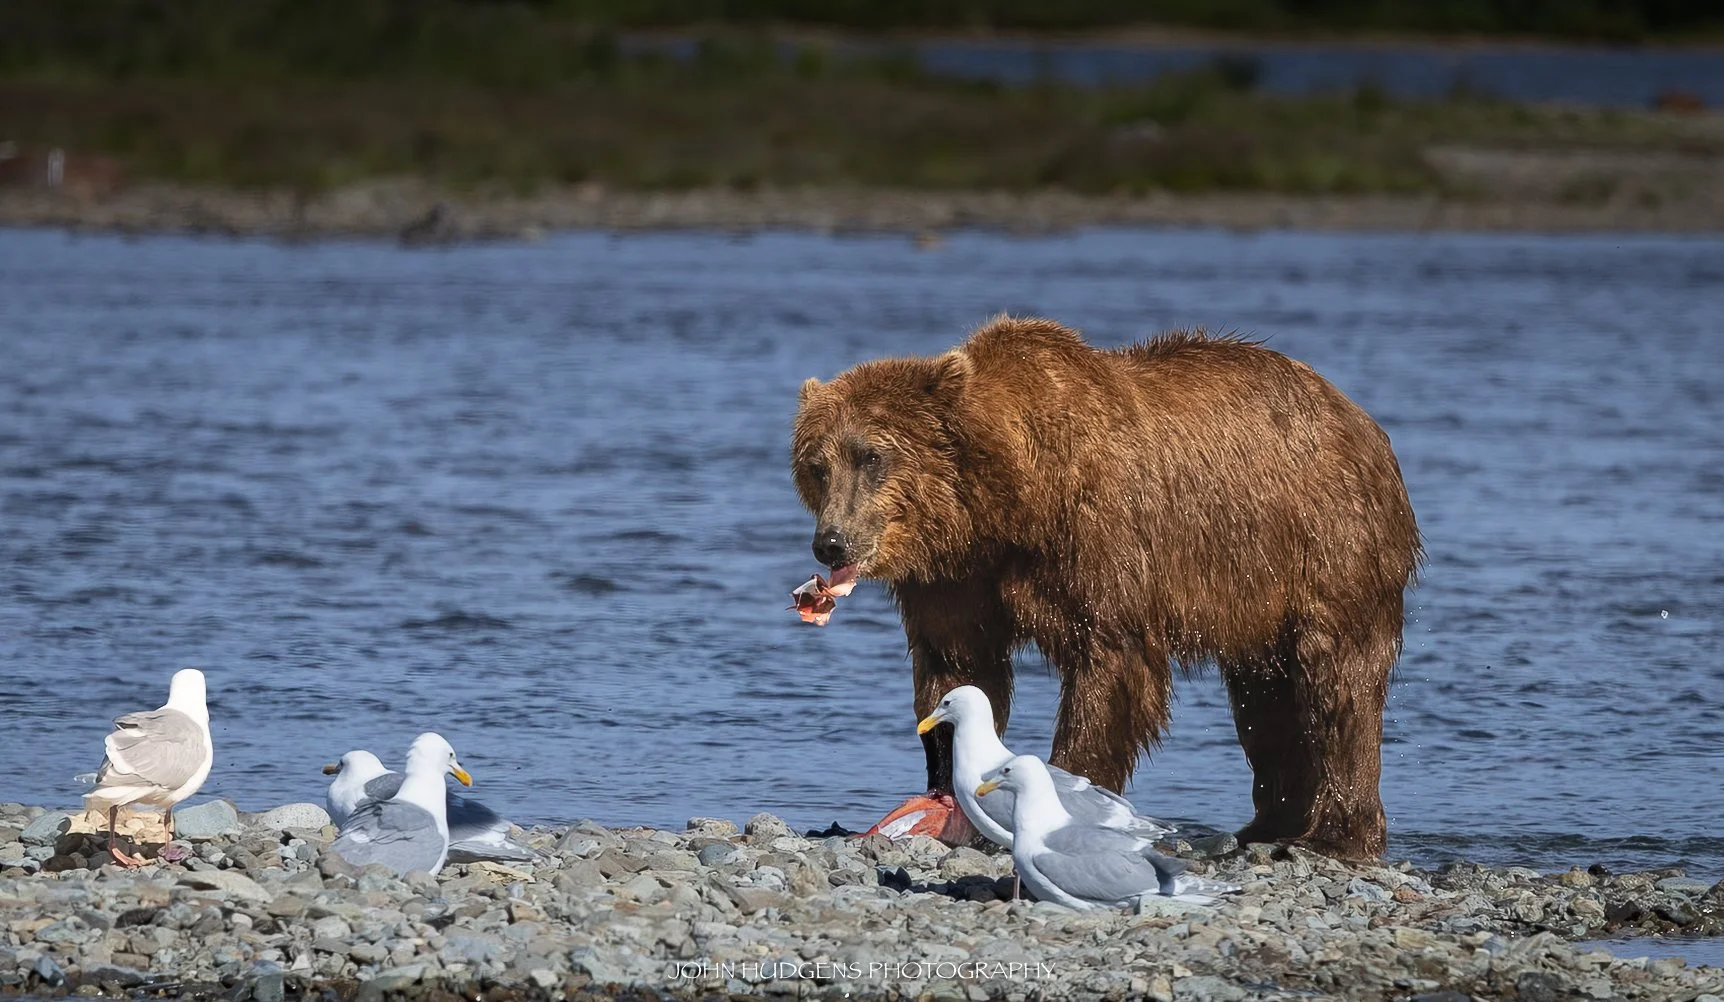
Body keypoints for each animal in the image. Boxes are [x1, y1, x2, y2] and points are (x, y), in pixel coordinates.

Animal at [791, 316, 1421, 859]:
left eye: (872, 456)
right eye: (817, 465)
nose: (832, 543)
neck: (1007, 505)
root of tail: (1360, 421)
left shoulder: (1101, 543)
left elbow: (1111, 666)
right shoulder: (956, 575)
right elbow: (958, 666)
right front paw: (950, 787)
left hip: (1327, 544)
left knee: (1335, 685)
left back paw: (1334, 836)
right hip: (1261, 595)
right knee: (1266, 700)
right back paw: (1266, 824)